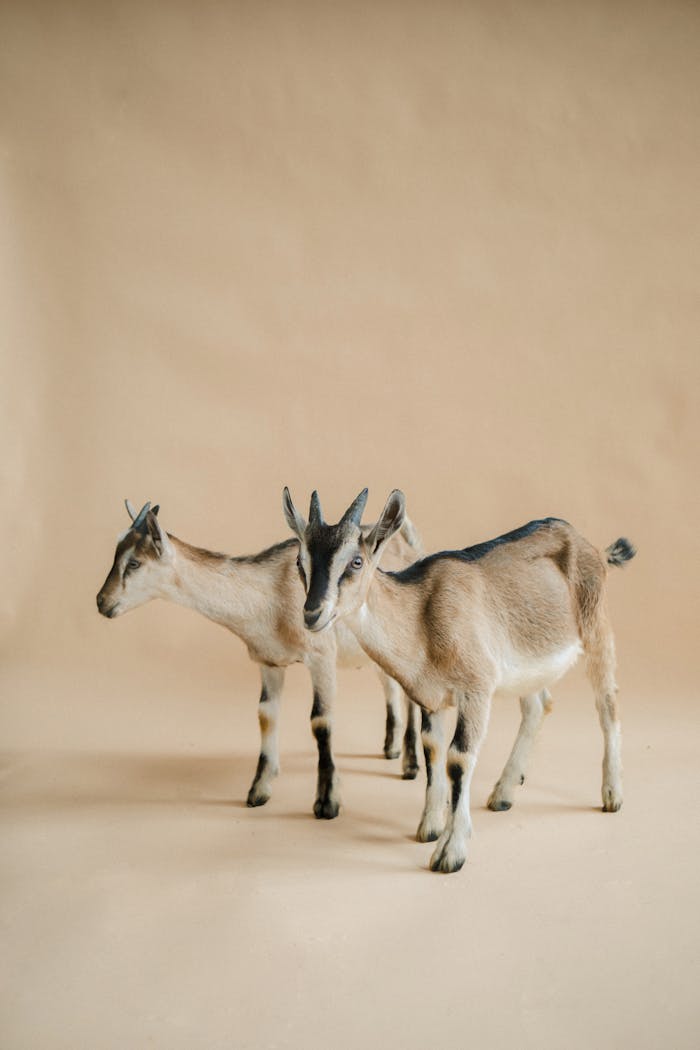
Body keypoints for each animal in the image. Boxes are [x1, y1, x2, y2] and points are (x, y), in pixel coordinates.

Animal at [96, 499, 422, 818]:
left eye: (134, 562)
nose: (102, 601)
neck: (272, 593)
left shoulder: (321, 657)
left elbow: (320, 719)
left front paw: (327, 802)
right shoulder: (269, 662)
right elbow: (266, 714)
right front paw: (259, 790)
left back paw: (410, 765)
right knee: (390, 685)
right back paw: (391, 749)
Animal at [283, 487, 636, 873]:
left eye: (356, 561)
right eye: (301, 561)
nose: (312, 614)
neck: (422, 615)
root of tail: (589, 545)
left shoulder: (476, 689)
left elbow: (458, 758)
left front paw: (450, 852)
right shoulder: (431, 697)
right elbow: (433, 751)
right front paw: (429, 828)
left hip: (596, 629)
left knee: (608, 705)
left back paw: (612, 795)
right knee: (539, 705)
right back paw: (503, 794)